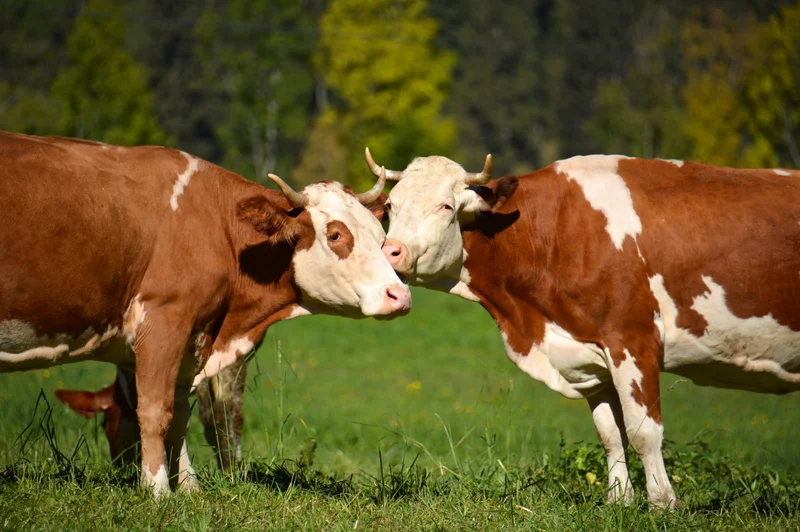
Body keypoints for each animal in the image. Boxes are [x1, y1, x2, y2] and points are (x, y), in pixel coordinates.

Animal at [0, 130, 411, 497]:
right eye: (337, 234)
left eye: (379, 234)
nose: (400, 295)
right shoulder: (163, 321)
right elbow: (156, 410)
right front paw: (157, 492)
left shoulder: (196, 336)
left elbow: (182, 415)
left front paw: (189, 488)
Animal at [367, 147, 800, 508]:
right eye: (391, 205)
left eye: (445, 206)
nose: (391, 251)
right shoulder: (590, 356)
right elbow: (610, 433)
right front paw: (619, 501)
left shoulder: (633, 341)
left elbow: (644, 431)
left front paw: (662, 504)